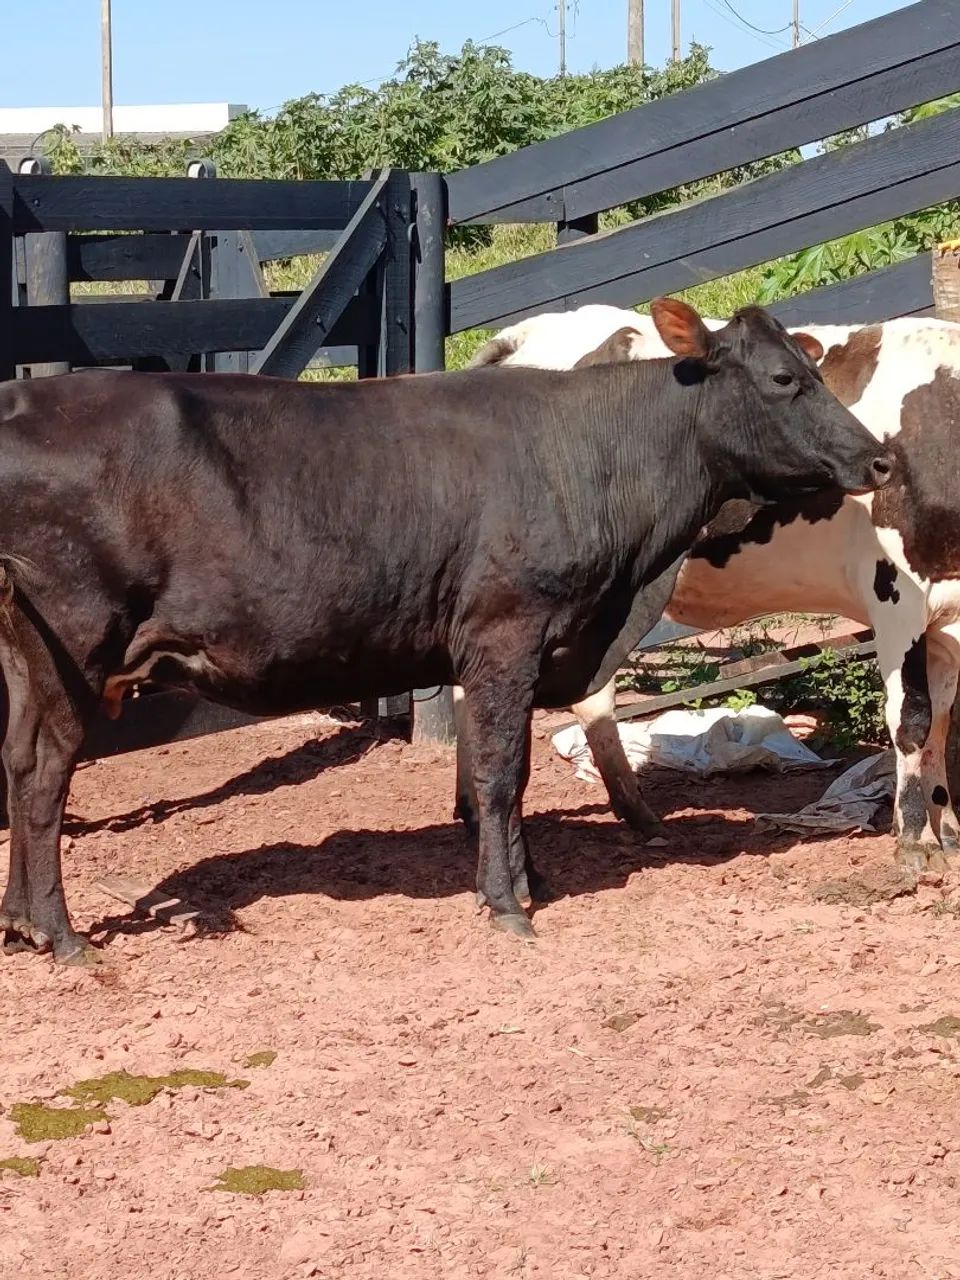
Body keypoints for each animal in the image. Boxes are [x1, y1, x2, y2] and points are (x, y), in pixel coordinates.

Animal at [0, 299, 891, 964]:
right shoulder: (507, 630)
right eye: (784, 378)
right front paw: (507, 903)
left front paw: (527, 881)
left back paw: (16, 923)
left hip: (23, 650)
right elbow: (500, 773)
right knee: (45, 776)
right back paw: (62, 934)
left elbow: (509, 773)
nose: (880, 459)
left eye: (816, 368)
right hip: (75, 641)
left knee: (15, 762)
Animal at [460, 304, 960, 879]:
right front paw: (916, 840)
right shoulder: (896, 597)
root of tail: (524, 333)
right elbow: (913, 718)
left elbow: (943, 719)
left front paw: (948, 831)